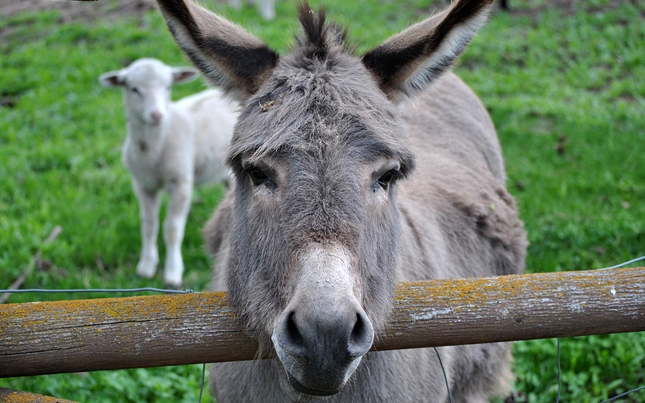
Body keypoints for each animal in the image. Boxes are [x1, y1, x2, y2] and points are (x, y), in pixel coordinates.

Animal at [100, 58, 239, 288]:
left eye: (168, 87)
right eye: (134, 89)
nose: (156, 115)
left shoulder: (181, 181)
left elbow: (172, 229)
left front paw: (173, 272)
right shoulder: (143, 185)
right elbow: (149, 224)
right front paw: (146, 265)